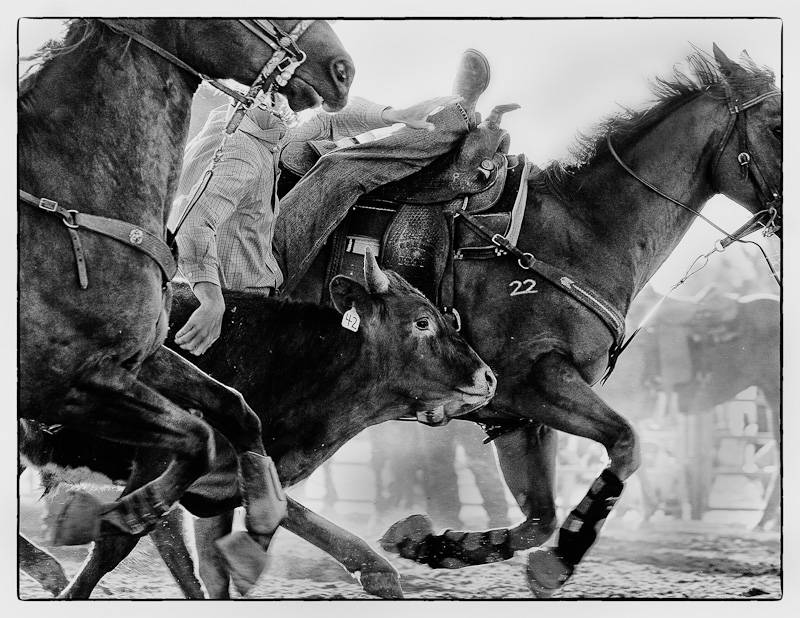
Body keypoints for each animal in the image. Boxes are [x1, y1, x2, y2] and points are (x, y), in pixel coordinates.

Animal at [18, 18, 354, 576]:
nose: (342, 69)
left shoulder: (140, 360)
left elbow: (234, 409)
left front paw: (263, 507)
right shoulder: (68, 386)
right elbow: (198, 439)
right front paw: (130, 509)